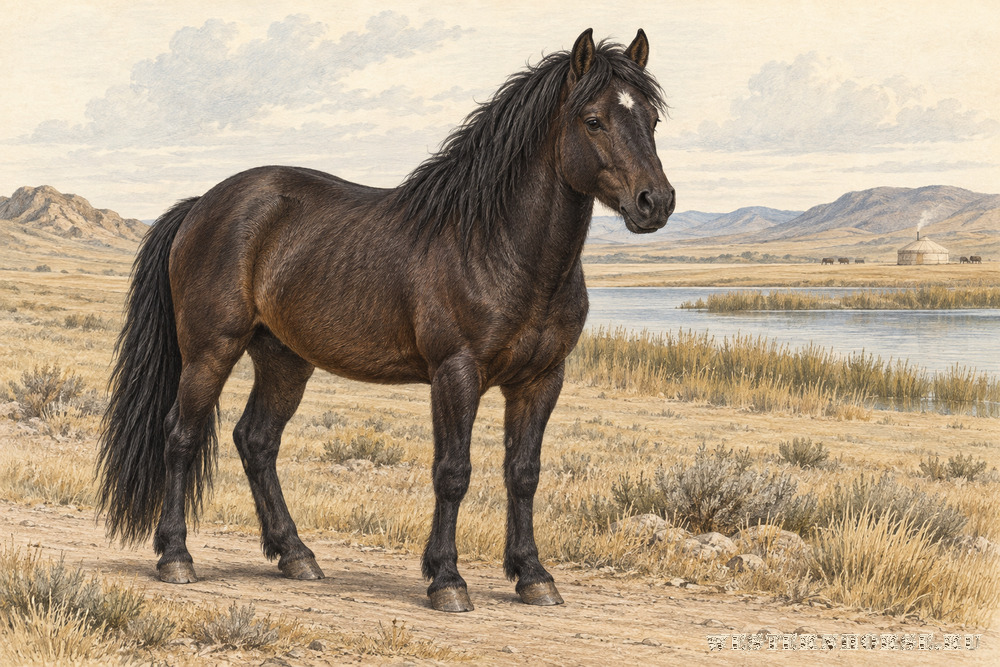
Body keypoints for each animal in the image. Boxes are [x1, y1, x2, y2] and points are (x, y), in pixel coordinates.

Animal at [96, 29, 673, 613]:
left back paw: (296, 555)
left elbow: (524, 474)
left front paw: (533, 575)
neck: (497, 246)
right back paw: (176, 557)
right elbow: (453, 472)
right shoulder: (456, 374)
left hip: (284, 360)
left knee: (256, 441)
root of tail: (201, 205)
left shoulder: (541, 380)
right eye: (593, 120)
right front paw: (447, 580)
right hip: (211, 350)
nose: (656, 202)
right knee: (181, 435)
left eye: (651, 119)